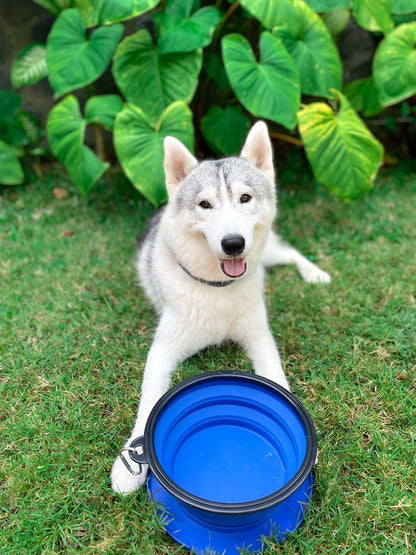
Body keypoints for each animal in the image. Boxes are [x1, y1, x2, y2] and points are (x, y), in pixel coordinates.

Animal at [111, 121, 332, 496]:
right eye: (205, 204)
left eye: (245, 198)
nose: (233, 244)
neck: (217, 289)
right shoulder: (161, 352)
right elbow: (149, 399)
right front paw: (131, 459)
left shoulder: (260, 338)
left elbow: (277, 378)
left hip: (268, 252)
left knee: (288, 252)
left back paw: (314, 273)